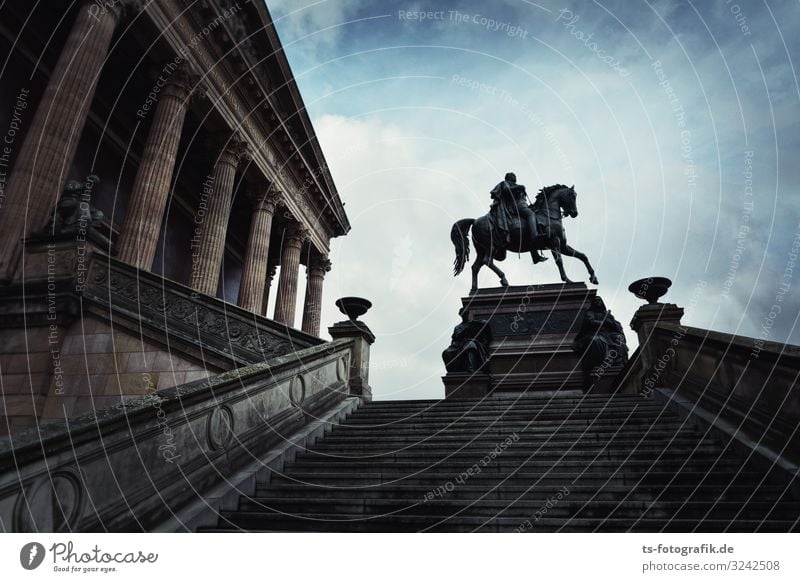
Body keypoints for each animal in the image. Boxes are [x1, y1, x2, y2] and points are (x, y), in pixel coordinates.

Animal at [454, 185, 596, 294]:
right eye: (573, 196)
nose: (574, 213)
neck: (549, 215)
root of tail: (474, 221)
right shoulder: (554, 243)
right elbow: (559, 261)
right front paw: (567, 280)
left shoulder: (563, 246)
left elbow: (582, 256)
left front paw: (593, 278)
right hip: (491, 246)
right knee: (487, 261)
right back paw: (504, 280)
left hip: (482, 249)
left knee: (475, 267)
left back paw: (474, 290)